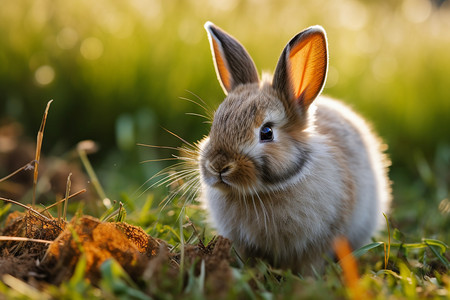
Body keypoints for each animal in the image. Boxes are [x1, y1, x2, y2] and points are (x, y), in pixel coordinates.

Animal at [193, 21, 390, 274]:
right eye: (215, 124)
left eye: (267, 132)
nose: (218, 166)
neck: (266, 191)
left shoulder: (320, 242)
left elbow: (311, 263)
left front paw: (307, 280)